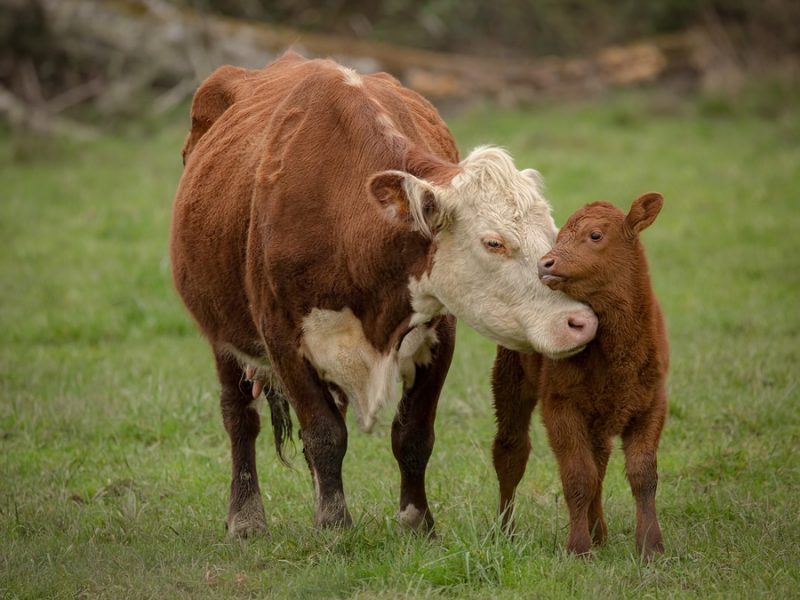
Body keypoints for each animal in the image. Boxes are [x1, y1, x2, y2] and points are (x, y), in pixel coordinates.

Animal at [170, 51, 598, 537]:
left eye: (551, 234)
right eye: (493, 242)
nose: (579, 322)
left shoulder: (440, 332)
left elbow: (412, 435)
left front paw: (416, 522)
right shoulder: (281, 337)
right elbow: (324, 433)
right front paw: (335, 525)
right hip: (222, 333)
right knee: (239, 415)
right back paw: (245, 517)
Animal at [491, 193, 668, 559]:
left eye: (596, 235)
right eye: (558, 237)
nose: (545, 263)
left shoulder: (652, 403)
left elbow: (643, 474)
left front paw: (650, 546)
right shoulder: (560, 405)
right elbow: (577, 475)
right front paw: (578, 548)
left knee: (599, 461)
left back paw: (599, 531)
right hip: (510, 380)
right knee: (511, 452)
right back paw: (505, 532)